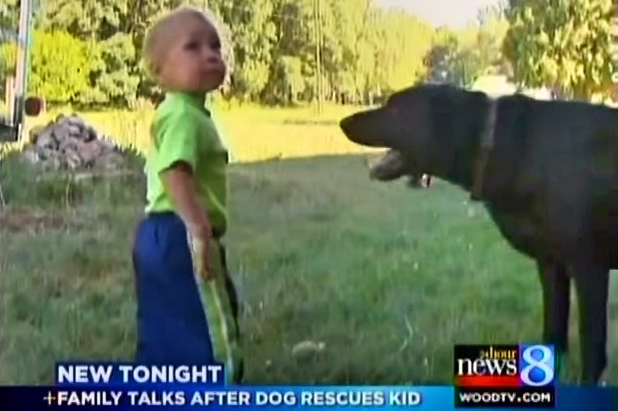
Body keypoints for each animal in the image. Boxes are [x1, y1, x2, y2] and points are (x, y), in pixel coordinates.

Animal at [336, 83, 616, 386]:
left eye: (396, 108)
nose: (343, 122)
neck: (495, 142)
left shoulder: (589, 268)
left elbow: (592, 345)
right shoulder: (551, 263)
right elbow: (554, 327)